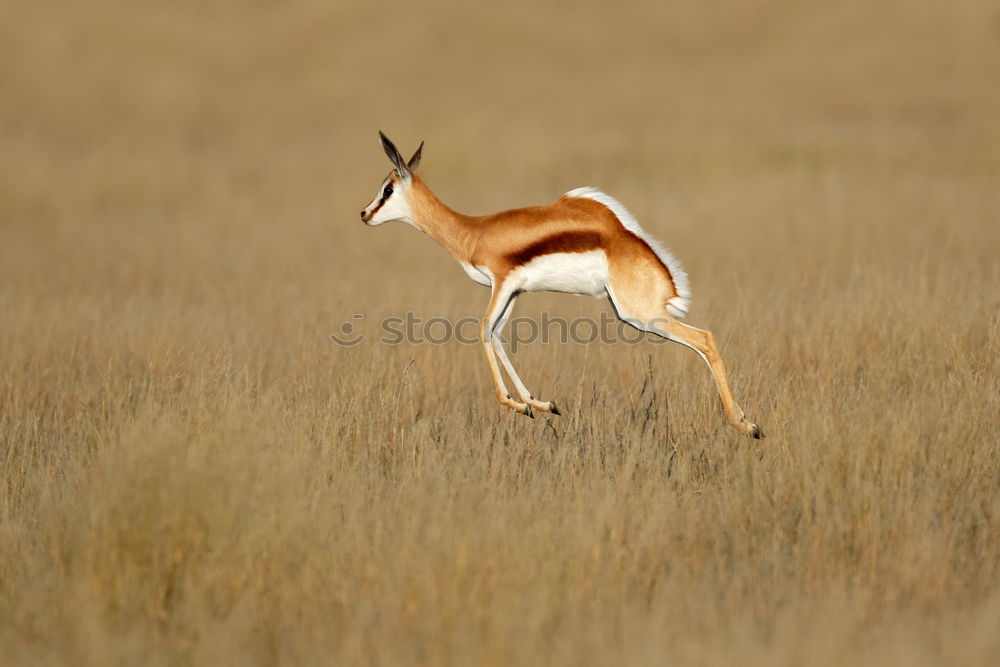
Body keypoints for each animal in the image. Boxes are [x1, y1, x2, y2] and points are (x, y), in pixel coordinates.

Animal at [364, 133, 760, 440]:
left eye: (387, 189)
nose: (364, 214)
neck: (473, 232)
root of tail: (627, 241)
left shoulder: (502, 284)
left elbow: (481, 330)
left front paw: (518, 405)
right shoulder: (513, 292)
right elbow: (498, 335)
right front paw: (540, 404)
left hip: (641, 315)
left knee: (705, 339)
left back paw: (747, 426)